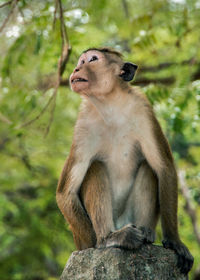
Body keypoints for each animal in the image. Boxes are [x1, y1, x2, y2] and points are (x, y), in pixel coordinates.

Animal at [56, 47, 194, 274]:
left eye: (92, 59)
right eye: (80, 62)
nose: (76, 69)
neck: (109, 104)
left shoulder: (143, 109)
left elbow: (164, 168)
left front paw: (174, 242)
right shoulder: (83, 125)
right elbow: (65, 192)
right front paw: (97, 244)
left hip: (129, 217)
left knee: (148, 167)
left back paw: (146, 233)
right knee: (95, 167)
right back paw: (110, 238)